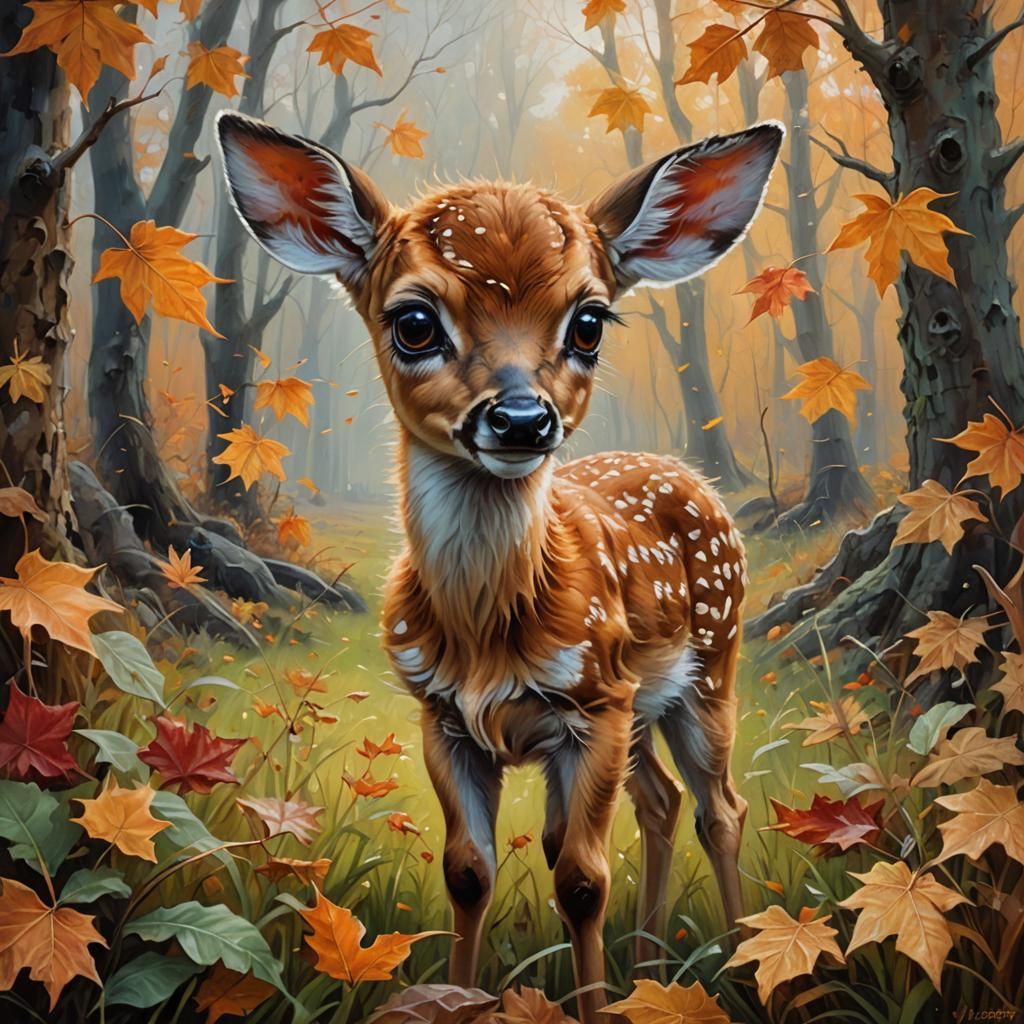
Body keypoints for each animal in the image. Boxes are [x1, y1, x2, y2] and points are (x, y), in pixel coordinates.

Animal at [216, 111, 782, 1021]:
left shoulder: (594, 703)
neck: (490, 630)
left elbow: (581, 880)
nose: (522, 419)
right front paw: (461, 995)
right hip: (646, 701)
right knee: (661, 804)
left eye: (589, 322)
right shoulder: (442, 716)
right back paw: (652, 968)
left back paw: (734, 963)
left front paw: (590, 1008)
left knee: (719, 809)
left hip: (710, 666)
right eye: (414, 321)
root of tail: (692, 477)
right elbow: (469, 873)